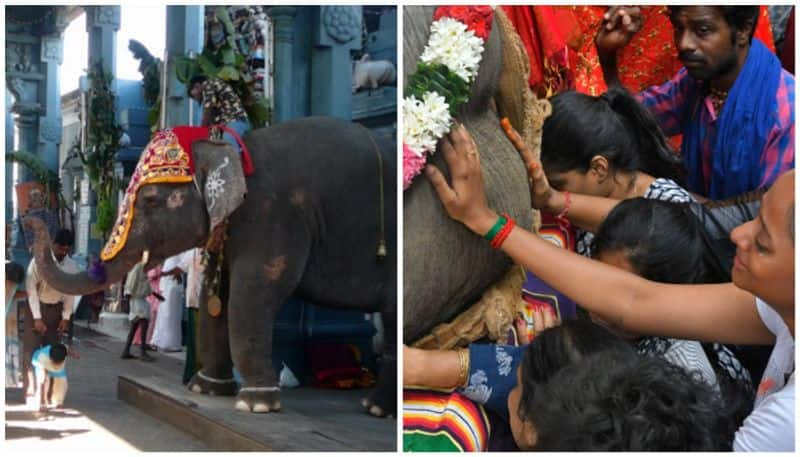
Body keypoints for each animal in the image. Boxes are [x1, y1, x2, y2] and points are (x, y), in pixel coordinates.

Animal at [25, 116, 396, 416]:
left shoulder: (273, 215)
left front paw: (256, 404)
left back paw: (377, 408)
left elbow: (252, 293)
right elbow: (214, 297)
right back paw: (375, 406)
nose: (32, 220)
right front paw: (206, 389)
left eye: (151, 200)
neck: (227, 149)